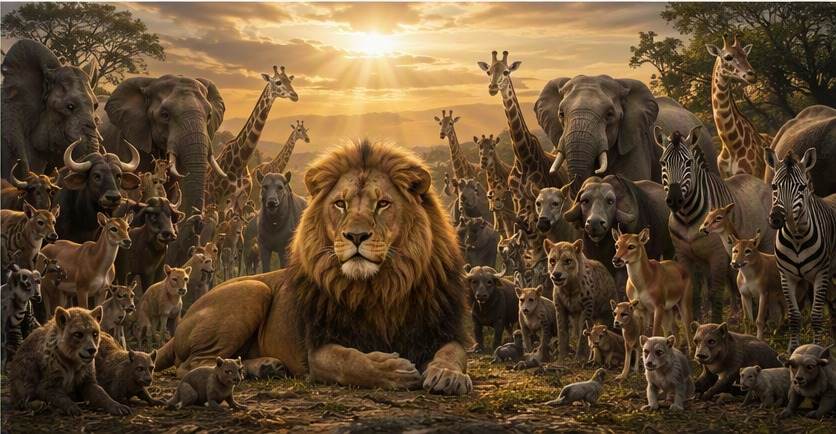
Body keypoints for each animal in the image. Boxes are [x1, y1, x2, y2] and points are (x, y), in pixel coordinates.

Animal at [155, 140, 473, 395]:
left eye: (383, 203)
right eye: (340, 204)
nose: (356, 236)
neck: (380, 287)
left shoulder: (444, 329)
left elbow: (453, 353)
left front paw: (448, 375)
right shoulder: (318, 348)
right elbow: (351, 361)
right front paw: (392, 370)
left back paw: (264, 366)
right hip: (252, 289)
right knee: (193, 365)